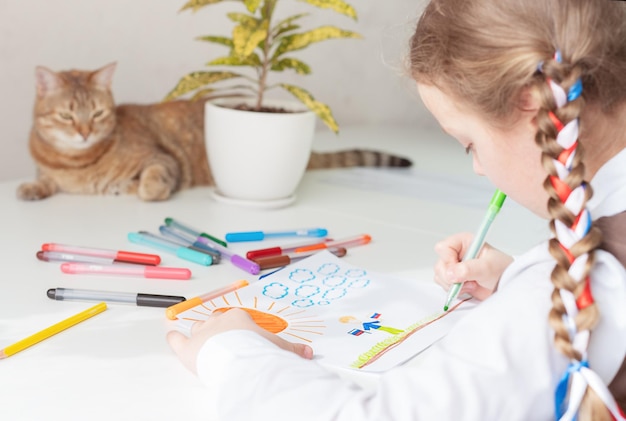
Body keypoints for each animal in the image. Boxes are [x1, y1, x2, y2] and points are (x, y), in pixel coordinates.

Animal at [15, 62, 410, 200]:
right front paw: (31, 187)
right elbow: (45, 180)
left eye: (97, 113)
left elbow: (152, 182)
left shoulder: (161, 158)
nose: (84, 132)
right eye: (67, 116)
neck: (76, 164)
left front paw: (138, 189)